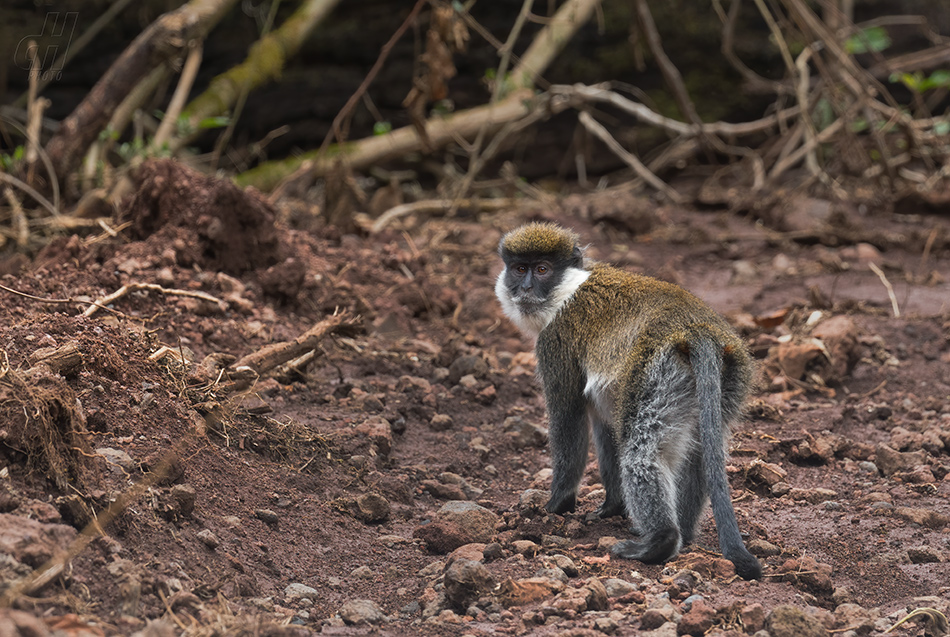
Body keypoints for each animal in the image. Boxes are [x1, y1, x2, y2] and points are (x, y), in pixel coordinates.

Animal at [494, 221, 764, 580]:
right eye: (519, 268)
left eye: (542, 270)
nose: (524, 288)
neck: (569, 288)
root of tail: (697, 329)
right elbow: (605, 430)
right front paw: (611, 508)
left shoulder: (555, 342)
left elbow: (569, 423)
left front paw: (556, 505)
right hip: (730, 379)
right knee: (699, 454)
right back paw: (683, 533)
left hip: (655, 373)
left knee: (641, 452)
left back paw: (661, 540)